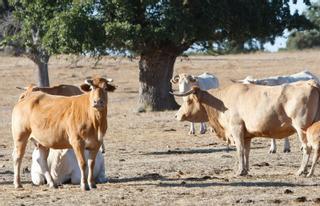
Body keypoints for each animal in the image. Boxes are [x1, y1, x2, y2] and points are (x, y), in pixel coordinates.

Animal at [172, 80, 320, 175]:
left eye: (188, 101)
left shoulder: (236, 129)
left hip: (302, 129)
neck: (220, 101)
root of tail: (310, 83)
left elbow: (240, 150)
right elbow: (247, 151)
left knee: (307, 148)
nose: (176, 115)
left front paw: (240, 171)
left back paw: (301, 170)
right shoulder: (247, 135)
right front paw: (246, 169)